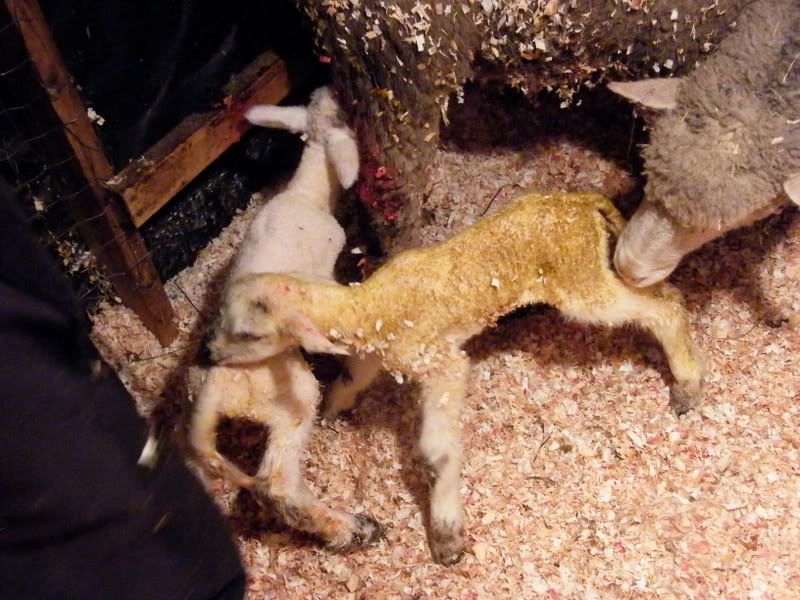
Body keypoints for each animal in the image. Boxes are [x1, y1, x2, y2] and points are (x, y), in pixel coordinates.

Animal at [188, 86, 383, 550]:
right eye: (344, 117)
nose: (327, 88)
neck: (306, 191)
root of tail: (212, 391)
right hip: (291, 401)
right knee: (275, 486)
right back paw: (351, 528)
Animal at [208, 191, 705, 565]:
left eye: (249, 333)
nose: (210, 354)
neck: (366, 307)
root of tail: (579, 199)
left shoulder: (440, 362)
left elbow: (437, 452)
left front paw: (446, 534)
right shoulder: (375, 354)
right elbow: (350, 377)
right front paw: (332, 409)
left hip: (580, 283)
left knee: (663, 307)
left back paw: (688, 386)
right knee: (663, 293)